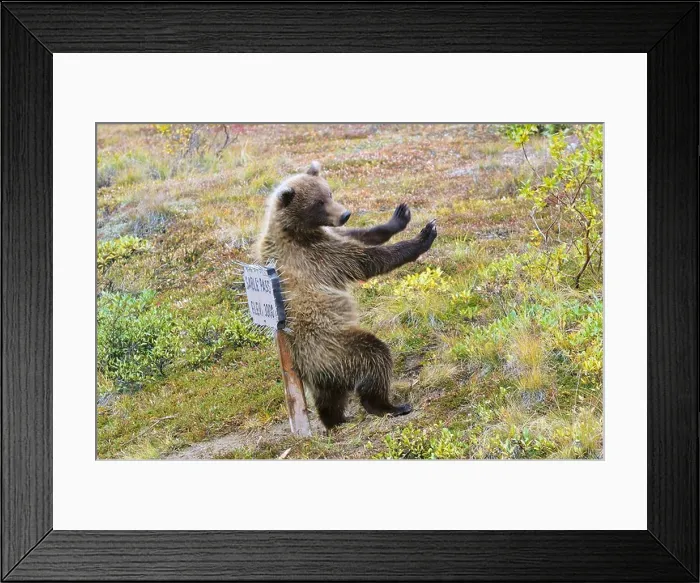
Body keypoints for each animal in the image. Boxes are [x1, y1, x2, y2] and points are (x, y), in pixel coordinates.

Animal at [255, 161, 437, 430]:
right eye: (318, 202)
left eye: (329, 192)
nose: (345, 214)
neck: (296, 231)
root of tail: (305, 367)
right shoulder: (315, 256)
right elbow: (366, 260)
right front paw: (423, 236)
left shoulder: (328, 238)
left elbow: (360, 235)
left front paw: (399, 217)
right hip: (335, 346)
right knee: (374, 356)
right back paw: (389, 406)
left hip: (327, 373)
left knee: (329, 398)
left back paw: (336, 420)